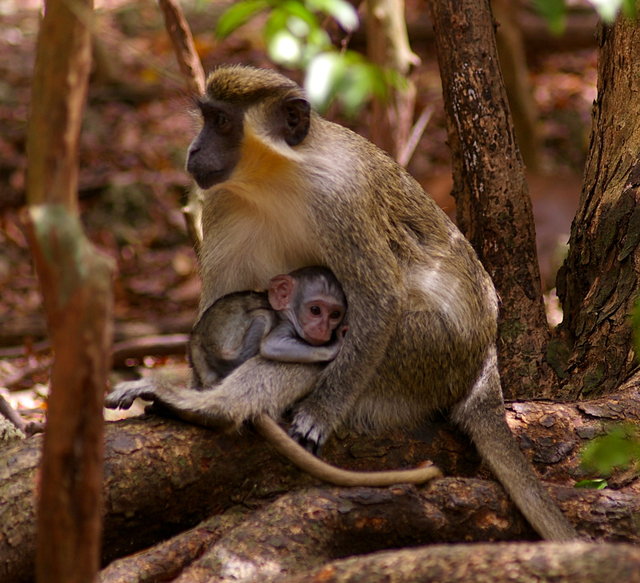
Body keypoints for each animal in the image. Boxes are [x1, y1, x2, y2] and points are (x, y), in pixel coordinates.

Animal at [190, 268, 350, 388]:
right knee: (264, 317)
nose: (323, 329)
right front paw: (335, 346)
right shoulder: (286, 324)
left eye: (335, 314)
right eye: (315, 310)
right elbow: (271, 344)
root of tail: (197, 336)